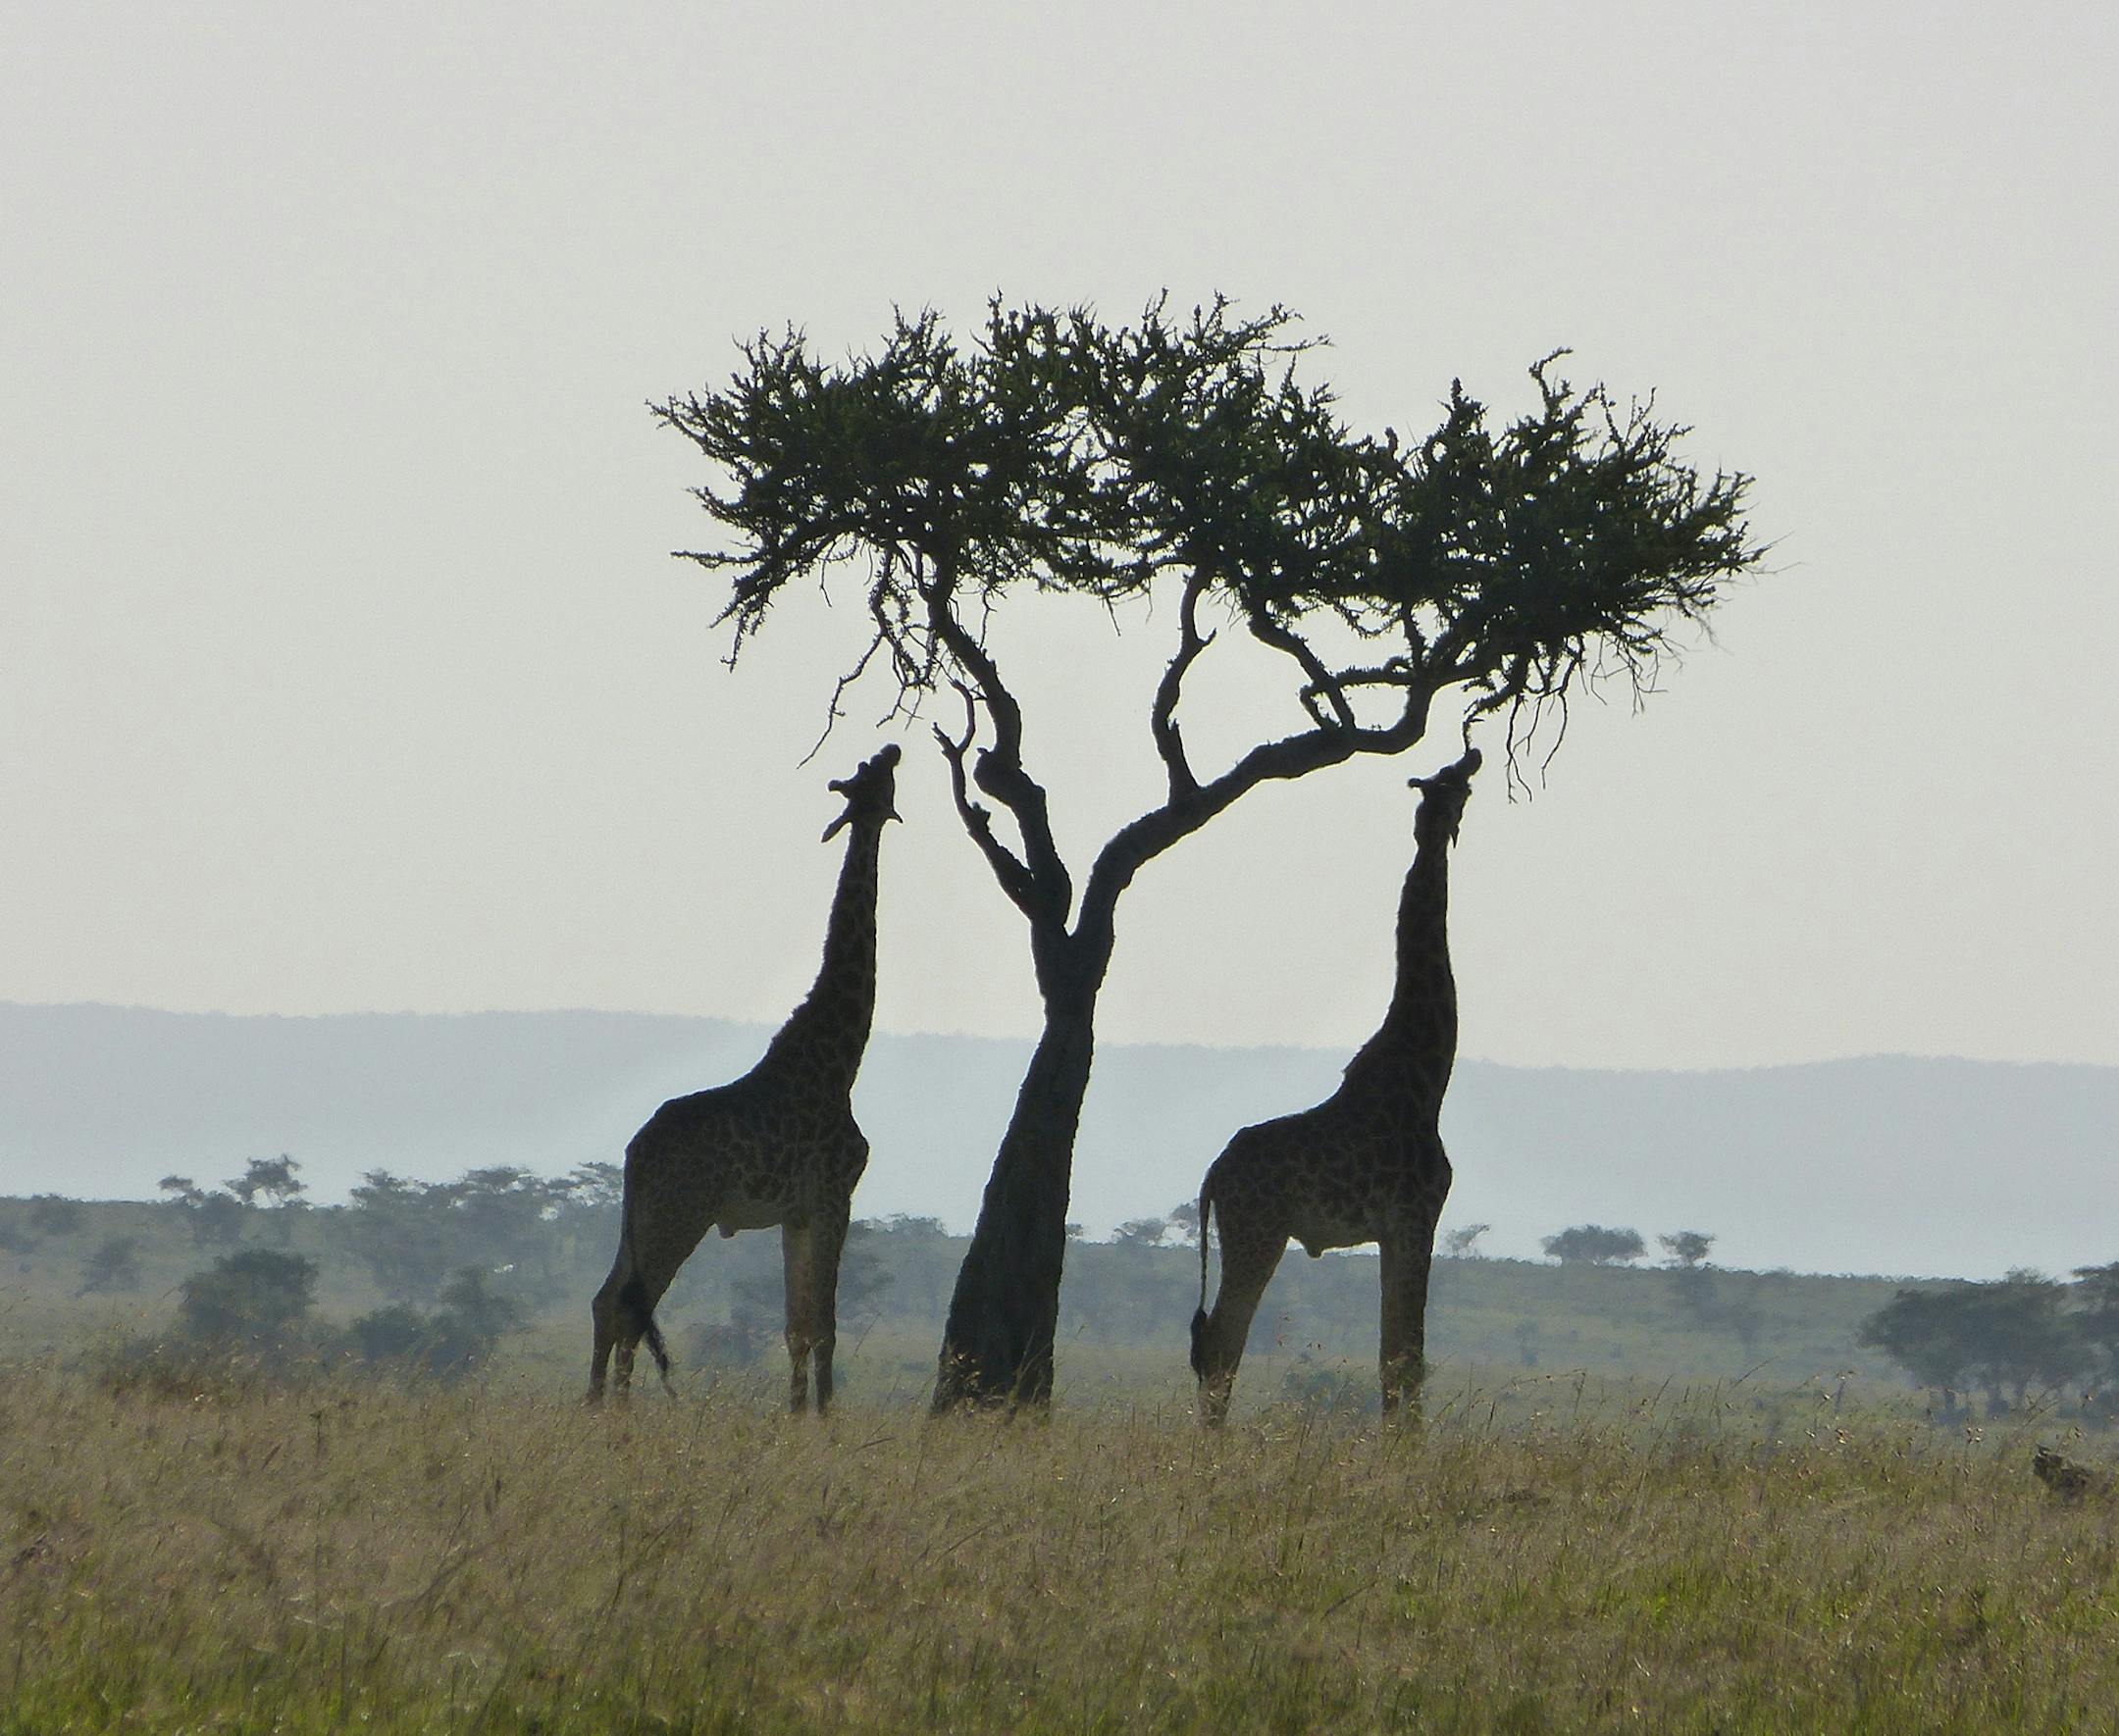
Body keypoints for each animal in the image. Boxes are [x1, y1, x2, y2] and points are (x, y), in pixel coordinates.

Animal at [587, 743, 900, 1411]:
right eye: (873, 775)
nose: (892, 747)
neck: (839, 1062)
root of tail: (634, 1152)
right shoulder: (834, 1195)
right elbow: (826, 1325)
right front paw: (827, 1417)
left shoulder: (796, 1213)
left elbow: (796, 1327)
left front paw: (795, 1414)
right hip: (681, 1212)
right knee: (628, 1305)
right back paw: (613, 1410)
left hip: (645, 1213)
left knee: (610, 1301)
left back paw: (599, 1406)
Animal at [1190, 745, 1481, 1425]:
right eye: (1454, 780)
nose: (1477, 752)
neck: (1426, 1074)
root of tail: (1213, 1175)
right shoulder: (1416, 1217)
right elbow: (1407, 1358)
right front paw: (1405, 1448)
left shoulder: (1395, 1229)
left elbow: (1394, 1356)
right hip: (1258, 1233)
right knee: (1221, 1342)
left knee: (1213, 1343)